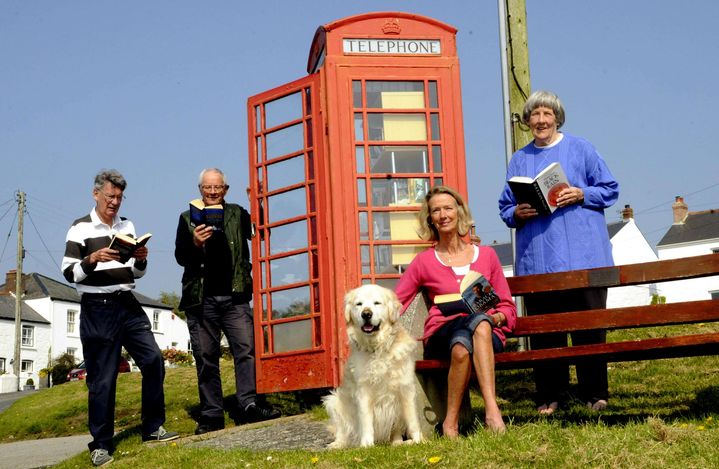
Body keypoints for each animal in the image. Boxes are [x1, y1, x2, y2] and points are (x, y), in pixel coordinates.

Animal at [324, 282, 422, 446]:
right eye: (359, 304)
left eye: (377, 303)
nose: (366, 314)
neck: (377, 349)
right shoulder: (363, 391)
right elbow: (366, 421)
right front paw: (366, 445)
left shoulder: (406, 388)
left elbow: (413, 420)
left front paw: (420, 441)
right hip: (334, 401)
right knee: (342, 432)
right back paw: (338, 444)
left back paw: (397, 443)